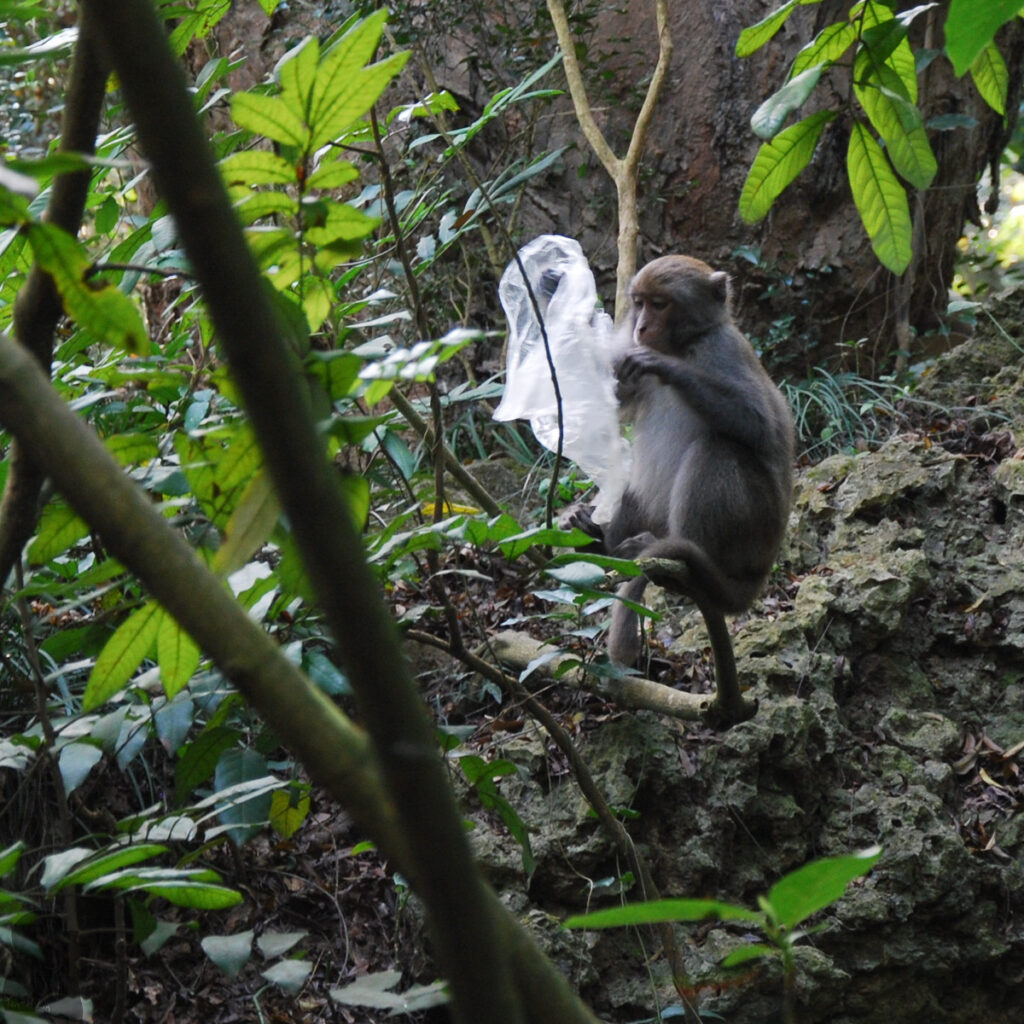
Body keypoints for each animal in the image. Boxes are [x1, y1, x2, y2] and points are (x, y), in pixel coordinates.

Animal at [574, 255, 794, 719]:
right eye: (638, 303)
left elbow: (758, 424)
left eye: (660, 304)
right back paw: (604, 543)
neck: (683, 344)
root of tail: (756, 580)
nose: (640, 327)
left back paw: (691, 563)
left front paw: (664, 367)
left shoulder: (723, 350)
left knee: (718, 449)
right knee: (636, 480)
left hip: (752, 535)